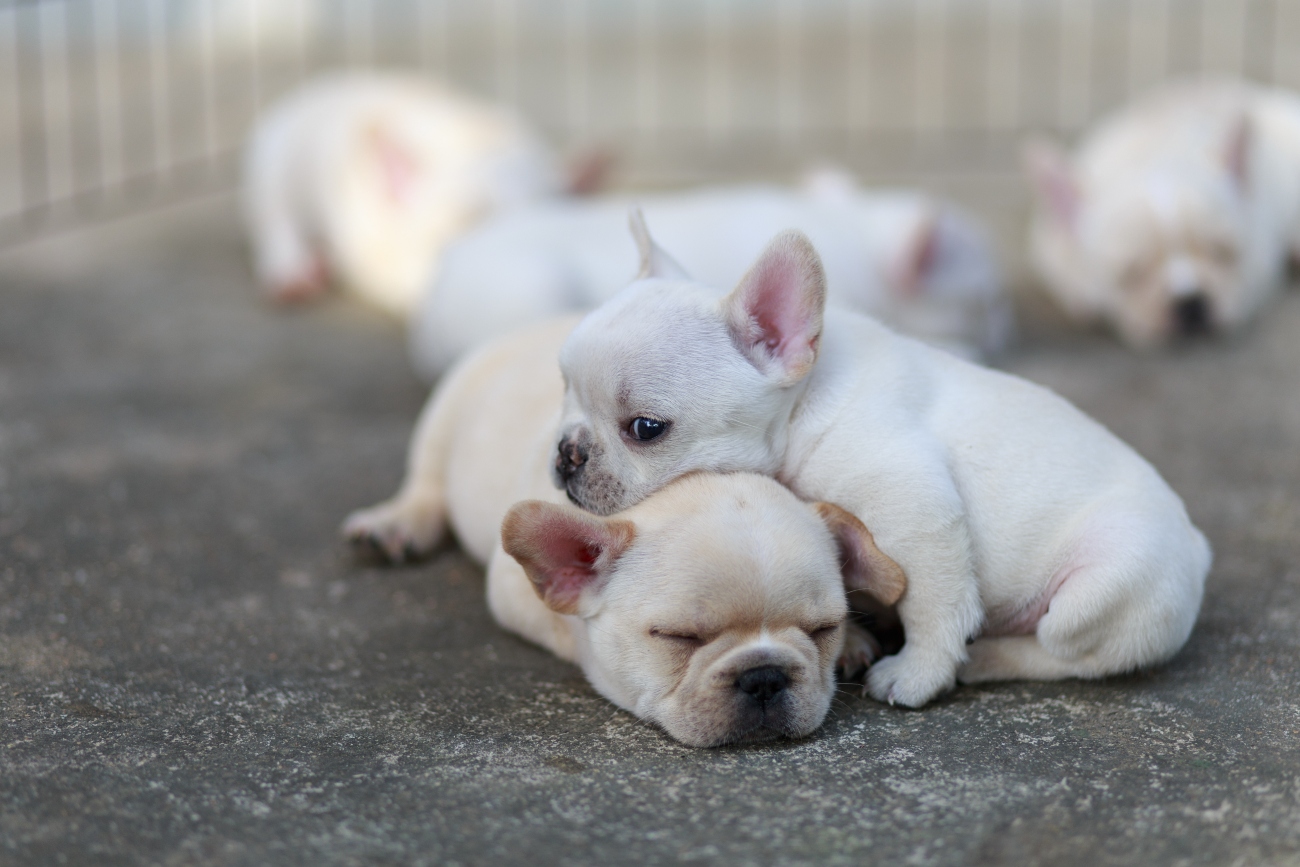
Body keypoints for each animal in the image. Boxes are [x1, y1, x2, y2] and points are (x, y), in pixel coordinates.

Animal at [340, 318, 904, 748]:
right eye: (679, 638)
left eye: (822, 630)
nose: (764, 676)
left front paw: (856, 640)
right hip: (445, 411)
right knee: (426, 477)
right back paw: (397, 523)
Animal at [546, 215, 1206, 707]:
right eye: (563, 389)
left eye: (645, 429)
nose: (567, 452)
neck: (802, 408)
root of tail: (1198, 547)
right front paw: (856, 639)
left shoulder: (916, 511)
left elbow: (934, 602)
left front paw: (917, 674)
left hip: (1103, 588)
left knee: (1068, 651)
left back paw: (987, 655)